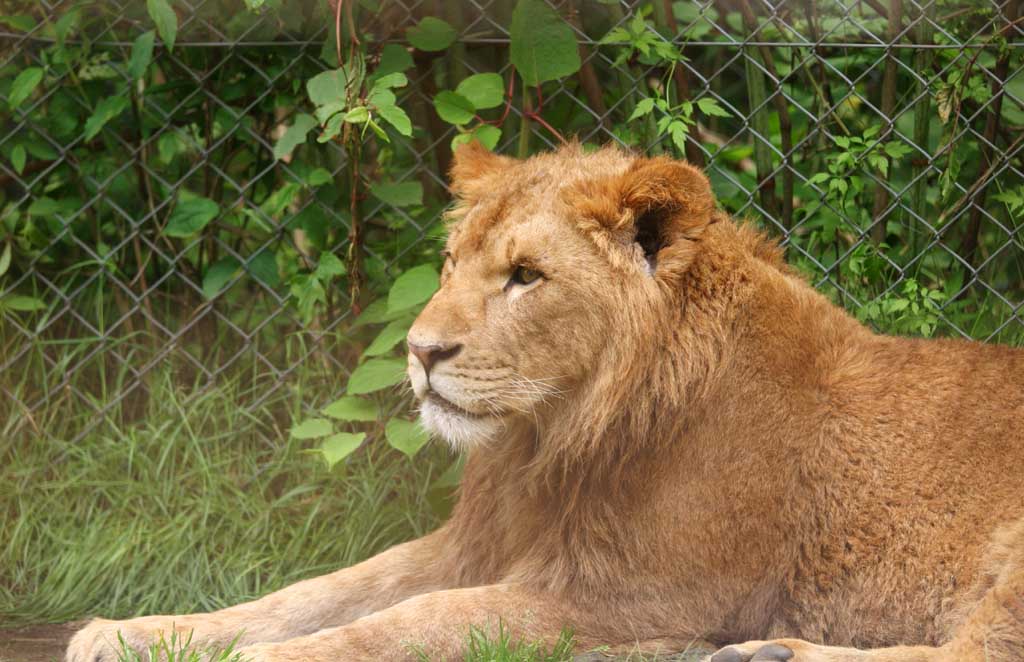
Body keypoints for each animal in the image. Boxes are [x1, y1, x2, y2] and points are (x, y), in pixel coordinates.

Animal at [68, 145, 1019, 662]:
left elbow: (411, 622)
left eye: (526, 276)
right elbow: (316, 591)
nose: (420, 353)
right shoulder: (473, 545)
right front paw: (136, 632)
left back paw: (773, 649)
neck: (547, 443)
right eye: (451, 263)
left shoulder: (630, 597)